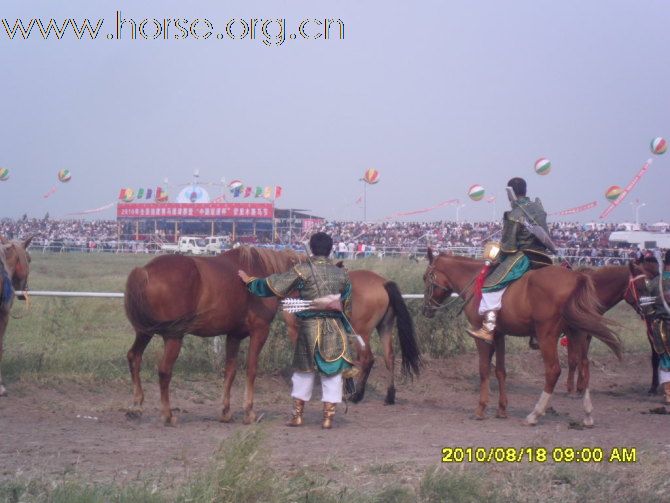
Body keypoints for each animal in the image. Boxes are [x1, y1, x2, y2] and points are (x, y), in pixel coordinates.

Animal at [125, 246, 302, 428]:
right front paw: (249, 412)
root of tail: (145, 271)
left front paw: (226, 412)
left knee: (134, 357)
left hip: (145, 331)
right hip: (173, 337)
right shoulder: (259, 331)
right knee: (164, 370)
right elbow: (251, 370)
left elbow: (230, 371)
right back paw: (168, 415)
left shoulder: (234, 335)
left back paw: (136, 406)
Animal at [422, 250, 624, 428]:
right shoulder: (499, 335)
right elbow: (500, 371)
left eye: (426, 277)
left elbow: (484, 370)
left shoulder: (482, 337)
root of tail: (576, 277)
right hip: (577, 334)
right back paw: (588, 415)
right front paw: (502, 409)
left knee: (553, 370)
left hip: (547, 335)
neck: (475, 281)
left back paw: (534, 415)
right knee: (584, 366)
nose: (426, 310)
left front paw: (481, 408)